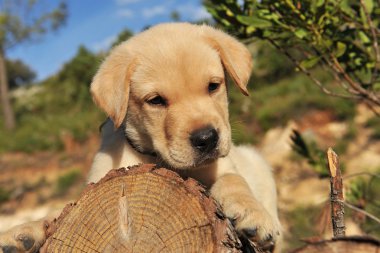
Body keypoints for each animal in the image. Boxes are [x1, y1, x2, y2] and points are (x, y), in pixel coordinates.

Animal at [0, 22, 280, 252]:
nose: (207, 138)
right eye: (156, 101)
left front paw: (253, 214)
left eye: (213, 86)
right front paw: (23, 234)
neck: (157, 157)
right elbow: (59, 212)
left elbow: (234, 180)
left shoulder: (224, 165)